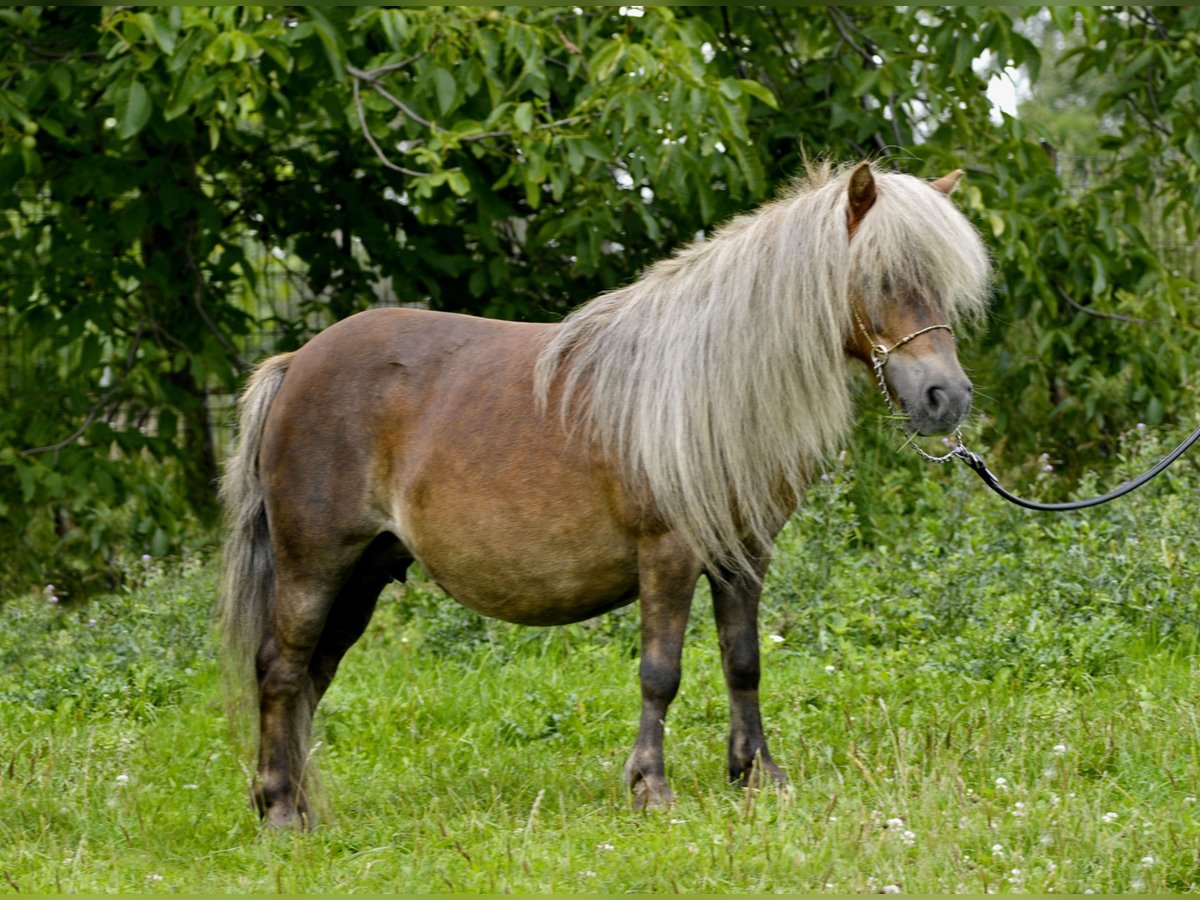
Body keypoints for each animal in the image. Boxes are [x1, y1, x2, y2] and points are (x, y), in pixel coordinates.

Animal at [220, 158, 988, 830]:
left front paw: (757, 776)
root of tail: (296, 363)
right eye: (880, 278)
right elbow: (660, 673)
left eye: (942, 285)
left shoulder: (741, 557)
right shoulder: (669, 555)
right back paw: (281, 813)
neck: (704, 388)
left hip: (363, 575)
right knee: (281, 670)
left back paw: (293, 804)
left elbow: (743, 663)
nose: (944, 398)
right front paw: (651, 787)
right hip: (314, 567)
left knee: (311, 676)